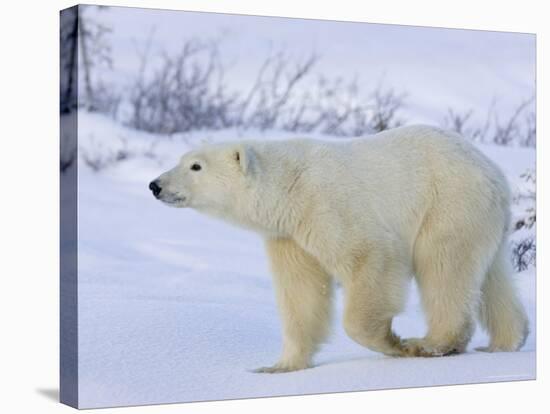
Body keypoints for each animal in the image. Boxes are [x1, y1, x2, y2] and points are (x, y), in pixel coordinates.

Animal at [149, 125, 528, 372]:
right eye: (182, 160)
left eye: (196, 166)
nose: (155, 184)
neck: (289, 186)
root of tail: (493, 172)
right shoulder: (289, 235)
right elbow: (301, 293)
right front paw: (279, 366)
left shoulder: (327, 205)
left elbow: (371, 256)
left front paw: (393, 343)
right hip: (482, 219)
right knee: (491, 277)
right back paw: (507, 340)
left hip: (447, 205)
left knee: (443, 267)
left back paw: (432, 343)